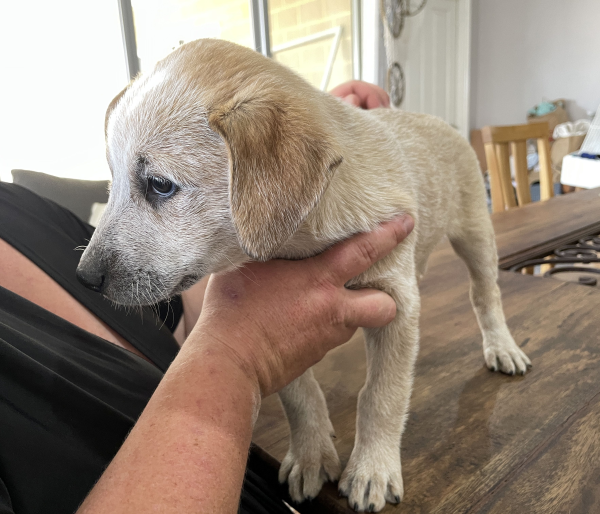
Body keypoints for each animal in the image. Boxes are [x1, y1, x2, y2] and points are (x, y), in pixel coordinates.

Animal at [77, 38, 532, 510]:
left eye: (160, 185)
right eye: (111, 181)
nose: (84, 278)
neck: (304, 238)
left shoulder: (397, 305)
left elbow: (382, 395)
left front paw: (372, 468)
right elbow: (299, 395)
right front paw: (312, 452)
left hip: (476, 235)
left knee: (486, 296)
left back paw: (502, 347)